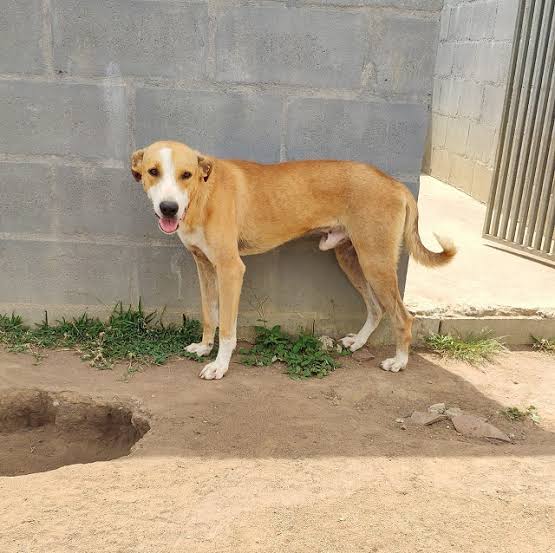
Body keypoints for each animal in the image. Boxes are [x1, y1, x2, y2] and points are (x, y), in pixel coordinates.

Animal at [131, 141, 455, 380]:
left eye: (186, 175)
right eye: (153, 171)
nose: (169, 208)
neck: (203, 195)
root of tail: (395, 183)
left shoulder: (230, 269)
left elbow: (228, 327)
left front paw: (220, 365)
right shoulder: (205, 267)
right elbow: (210, 315)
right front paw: (204, 347)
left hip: (375, 261)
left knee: (403, 315)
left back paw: (399, 362)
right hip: (351, 258)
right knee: (377, 308)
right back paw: (358, 342)